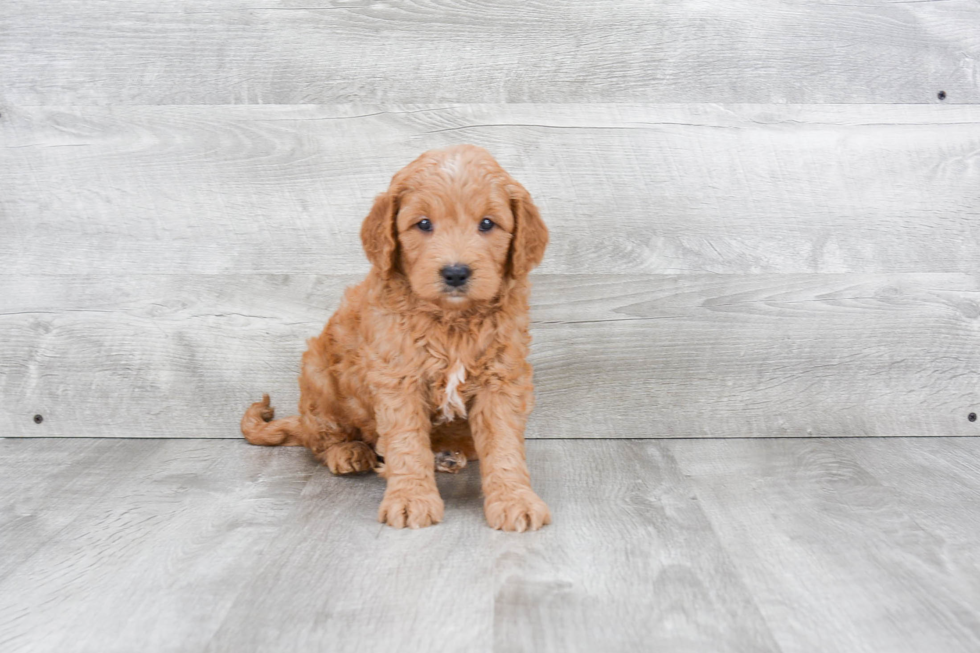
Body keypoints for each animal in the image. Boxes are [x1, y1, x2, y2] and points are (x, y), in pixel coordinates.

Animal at [240, 144, 552, 528]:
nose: (455, 273)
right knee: (321, 438)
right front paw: (410, 499)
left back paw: (447, 455)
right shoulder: (398, 378)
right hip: (318, 376)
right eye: (424, 224)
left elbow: (504, 444)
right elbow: (406, 444)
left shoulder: (502, 378)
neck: (452, 321)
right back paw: (348, 452)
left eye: (487, 224)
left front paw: (514, 500)